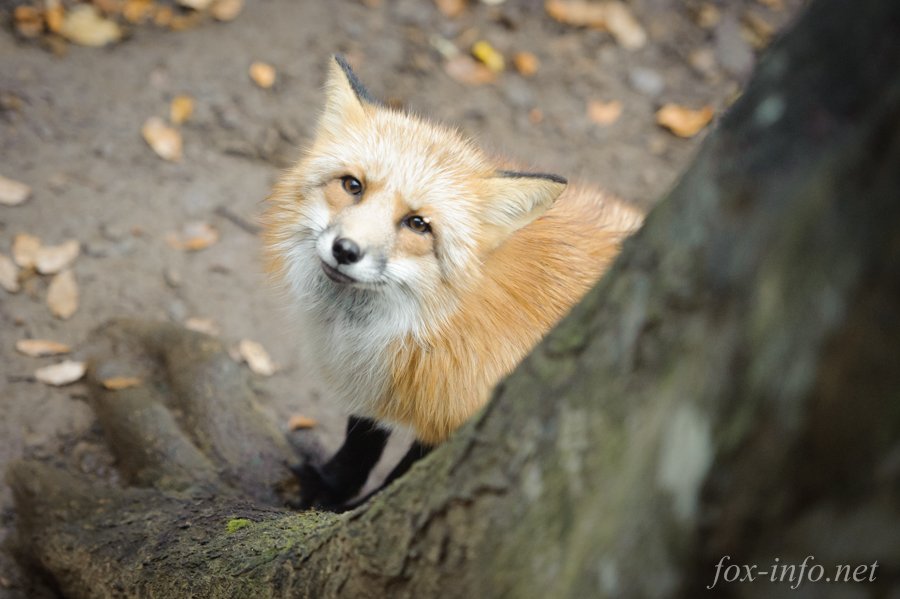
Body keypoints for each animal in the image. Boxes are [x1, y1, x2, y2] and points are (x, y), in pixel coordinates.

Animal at [262, 55, 644, 510]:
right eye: (353, 185)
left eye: (418, 224)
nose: (346, 250)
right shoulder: (377, 379)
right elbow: (360, 443)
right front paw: (326, 490)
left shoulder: (471, 419)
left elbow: (405, 484)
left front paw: (361, 510)